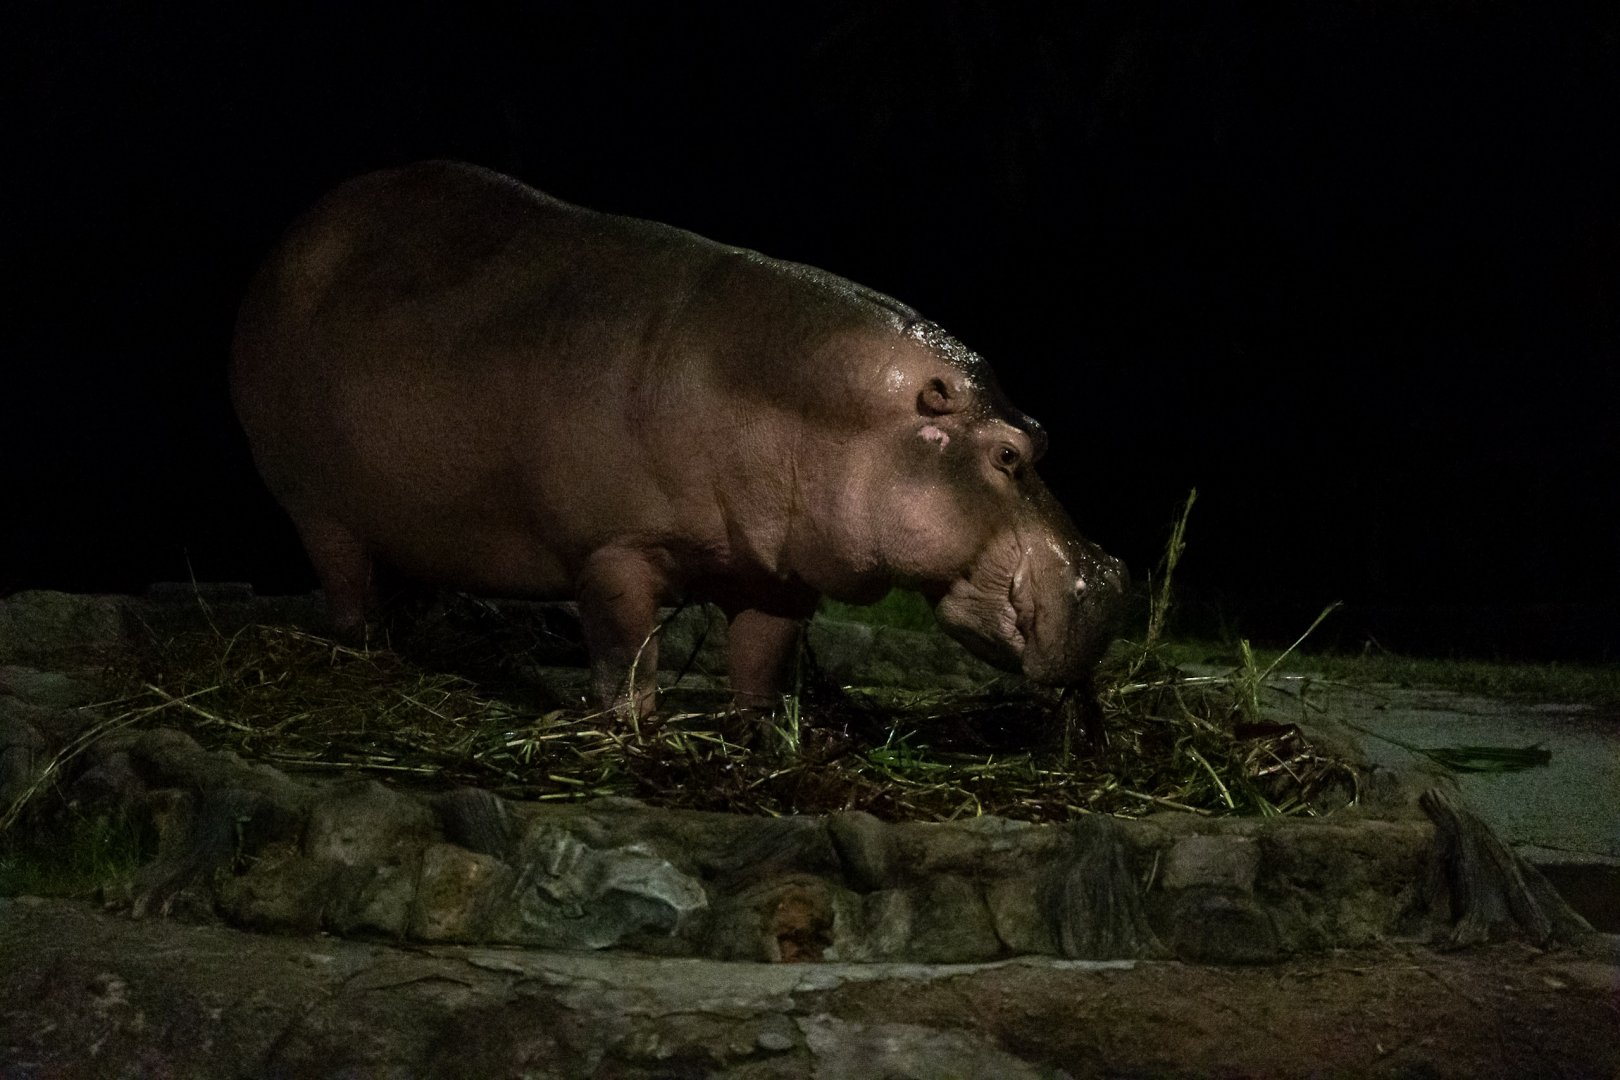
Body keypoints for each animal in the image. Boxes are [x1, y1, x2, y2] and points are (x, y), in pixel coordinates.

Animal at [231, 162, 1126, 716]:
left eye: (1043, 431)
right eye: (1008, 454)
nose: (1109, 583)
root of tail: (293, 241)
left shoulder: (777, 573)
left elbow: (761, 658)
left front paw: (755, 726)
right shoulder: (614, 550)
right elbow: (626, 653)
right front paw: (634, 729)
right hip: (317, 507)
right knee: (346, 584)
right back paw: (369, 654)